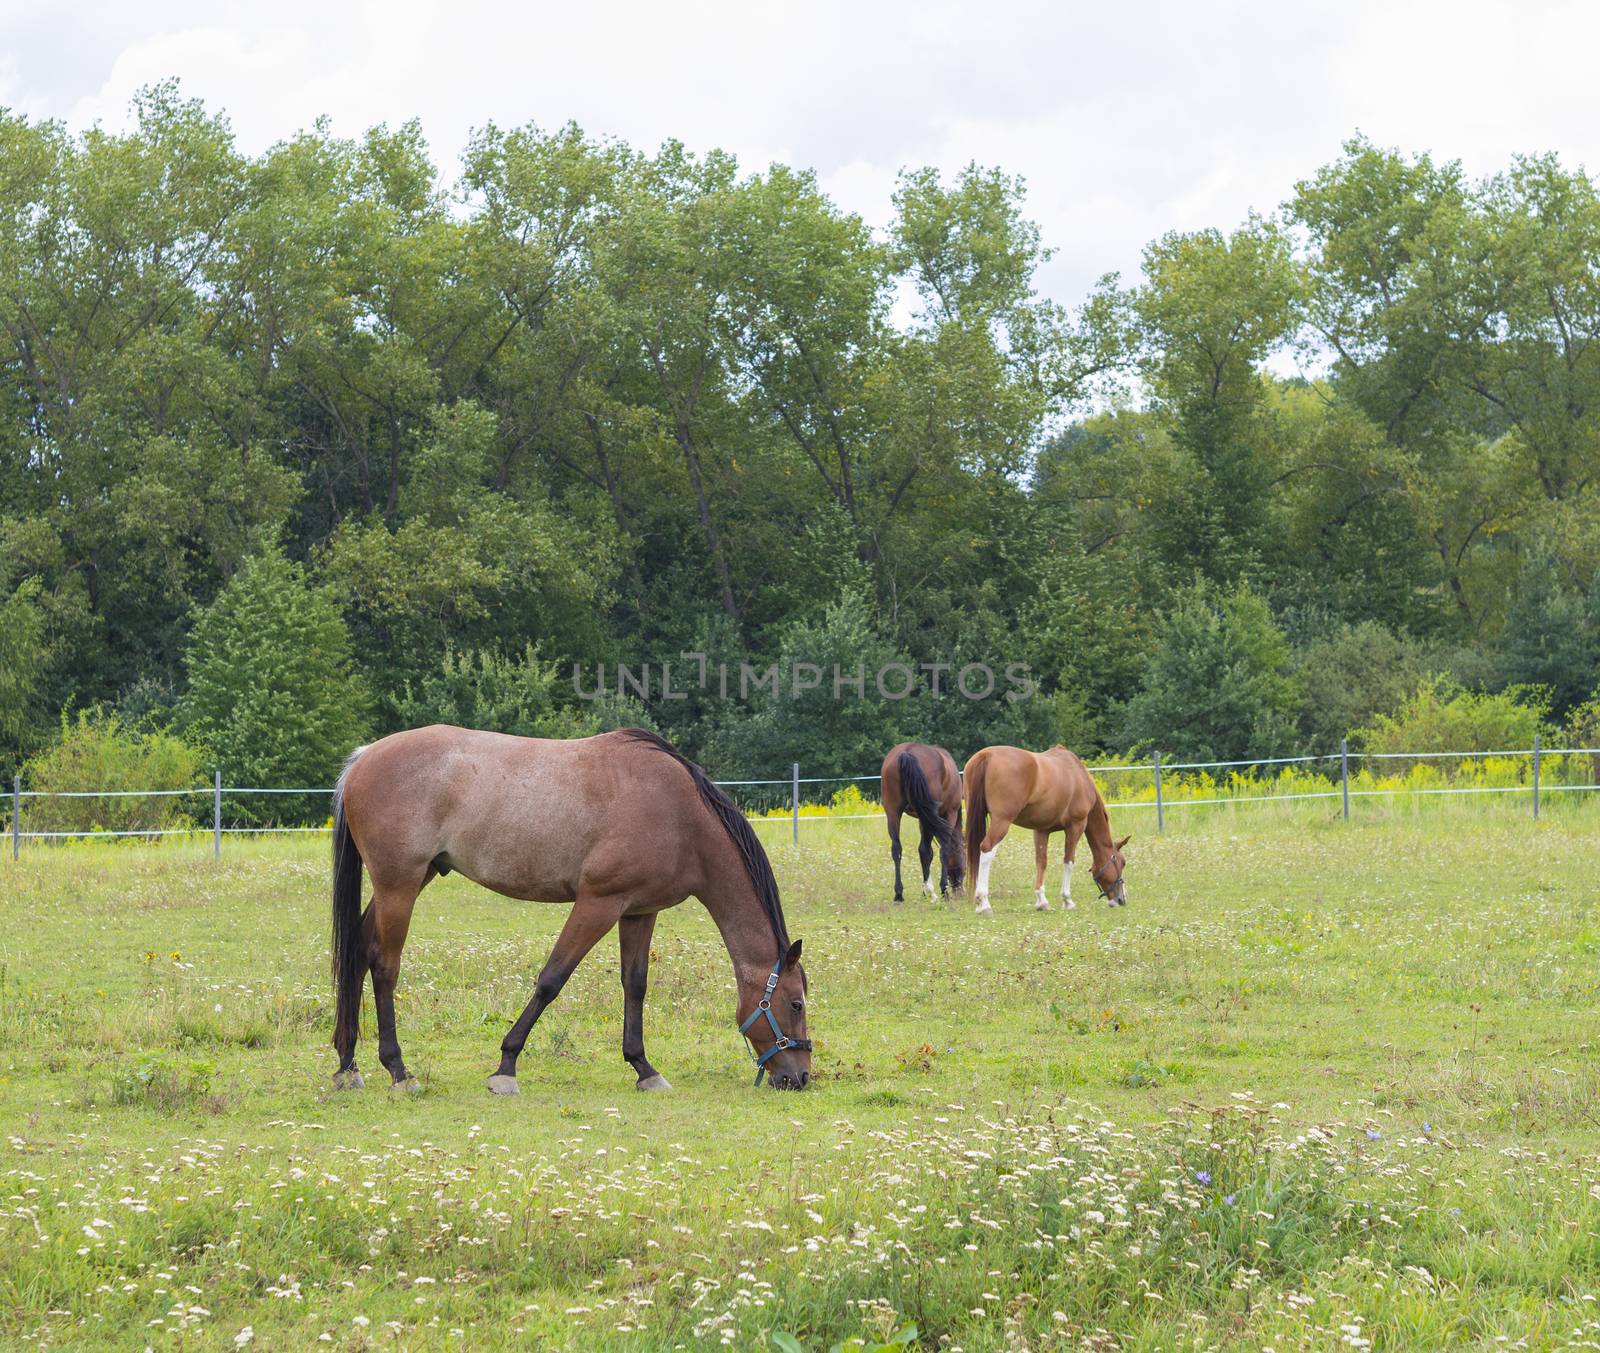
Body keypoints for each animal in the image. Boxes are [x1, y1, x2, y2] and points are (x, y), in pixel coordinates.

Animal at [334, 726, 812, 1093]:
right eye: (796, 1005)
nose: (801, 1076)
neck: (681, 817)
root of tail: (363, 758)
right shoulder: (598, 902)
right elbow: (552, 980)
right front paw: (505, 1067)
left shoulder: (638, 911)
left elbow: (635, 985)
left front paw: (643, 1068)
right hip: (399, 886)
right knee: (384, 966)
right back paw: (399, 1071)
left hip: (411, 880)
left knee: (357, 952)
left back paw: (347, 1065)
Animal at [876, 742, 960, 902]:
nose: (958, 889)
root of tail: (906, 752)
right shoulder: (950, 814)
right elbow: (944, 850)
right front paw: (942, 889)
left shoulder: (925, 820)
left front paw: (924, 890)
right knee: (924, 849)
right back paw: (932, 892)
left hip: (893, 812)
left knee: (897, 849)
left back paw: (899, 894)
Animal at [953, 748, 1132, 914]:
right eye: (1122, 862)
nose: (1121, 899)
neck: (1078, 776)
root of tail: (986, 755)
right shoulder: (1076, 826)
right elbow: (1069, 861)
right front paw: (1067, 901)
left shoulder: (1041, 830)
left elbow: (1041, 862)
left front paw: (1042, 902)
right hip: (1001, 822)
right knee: (986, 850)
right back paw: (984, 903)